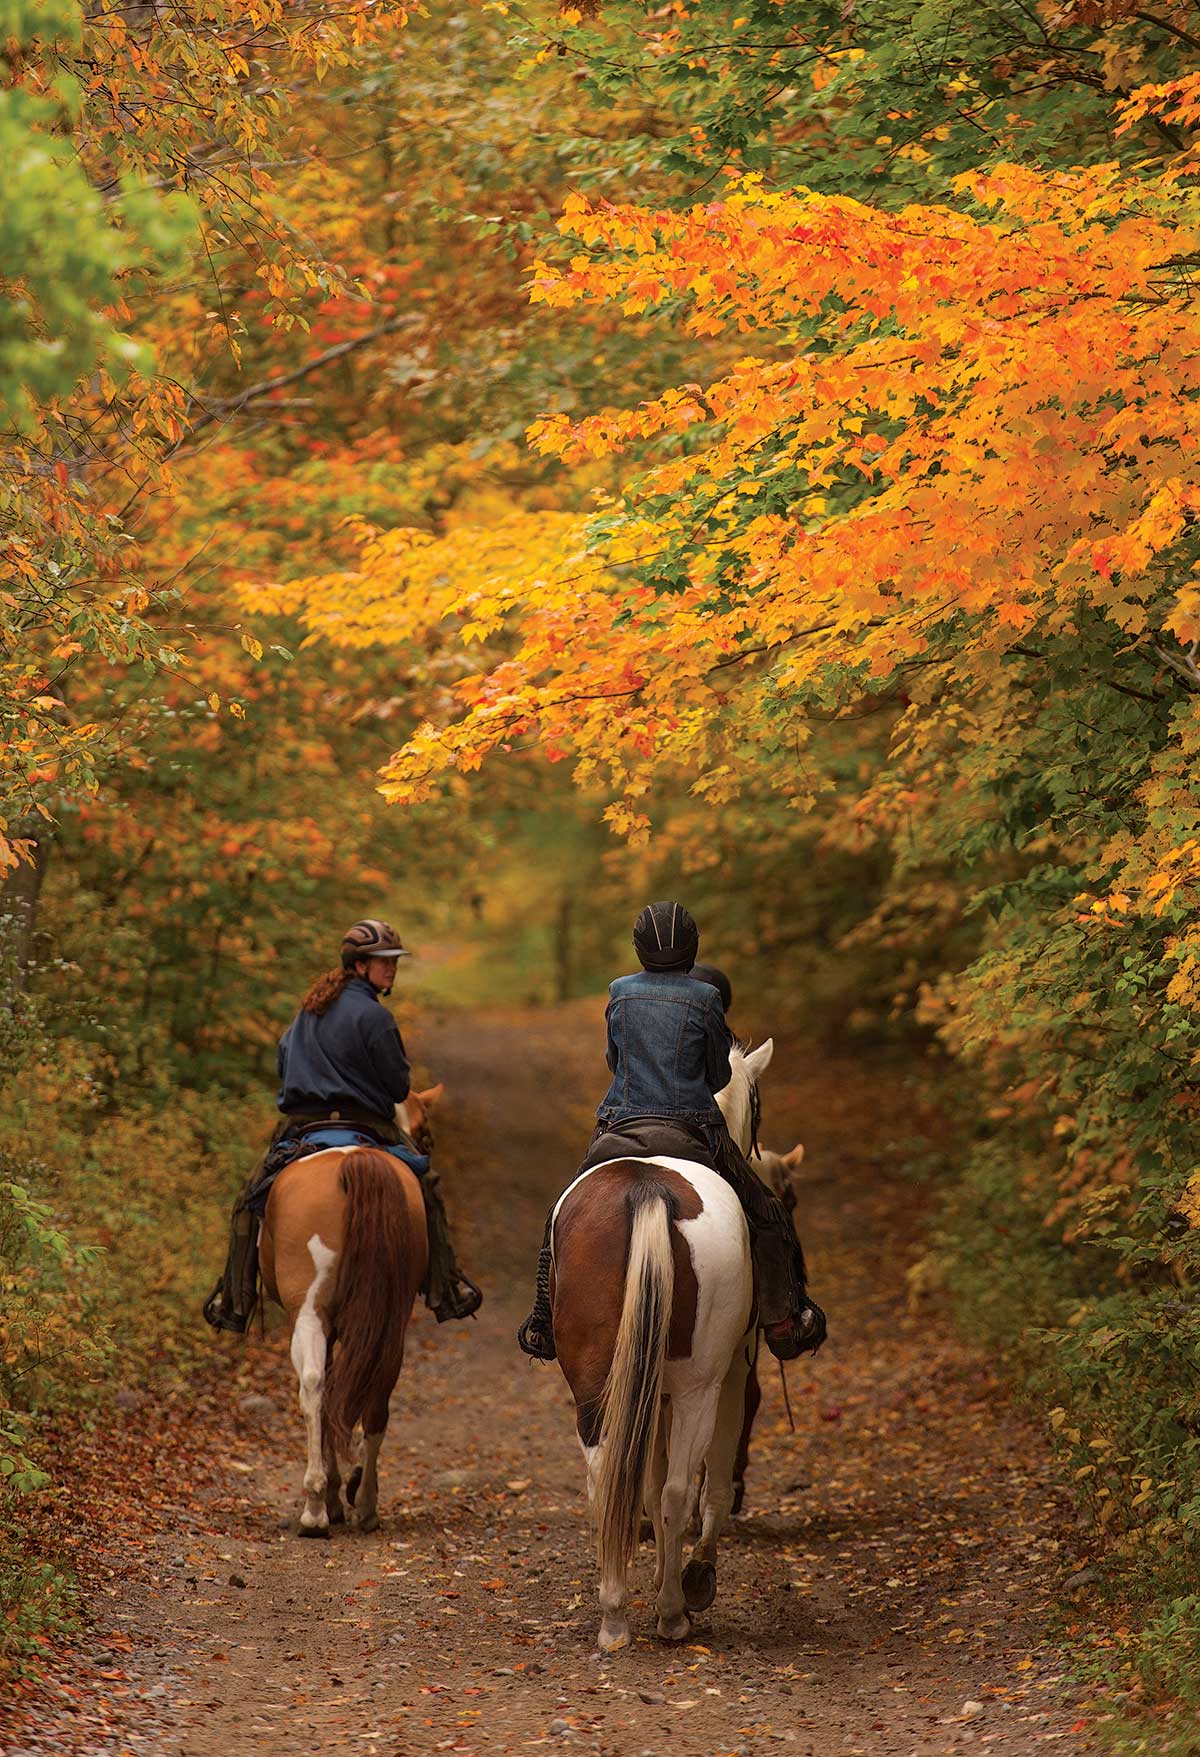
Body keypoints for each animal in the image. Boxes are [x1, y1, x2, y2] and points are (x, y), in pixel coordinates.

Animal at [256, 1082, 439, 1539]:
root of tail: (354, 1162)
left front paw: (336, 1494)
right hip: (390, 1317)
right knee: (373, 1392)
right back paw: (359, 1503)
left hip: (309, 1312)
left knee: (314, 1387)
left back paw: (321, 1507)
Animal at [548, 1040, 773, 1644]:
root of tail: (647, 1190)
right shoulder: (733, 1375)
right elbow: (709, 1484)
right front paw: (696, 1577)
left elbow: (642, 1485)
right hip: (700, 1385)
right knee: (678, 1491)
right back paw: (673, 1611)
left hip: (598, 1382)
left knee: (606, 1479)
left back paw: (614, 1613)